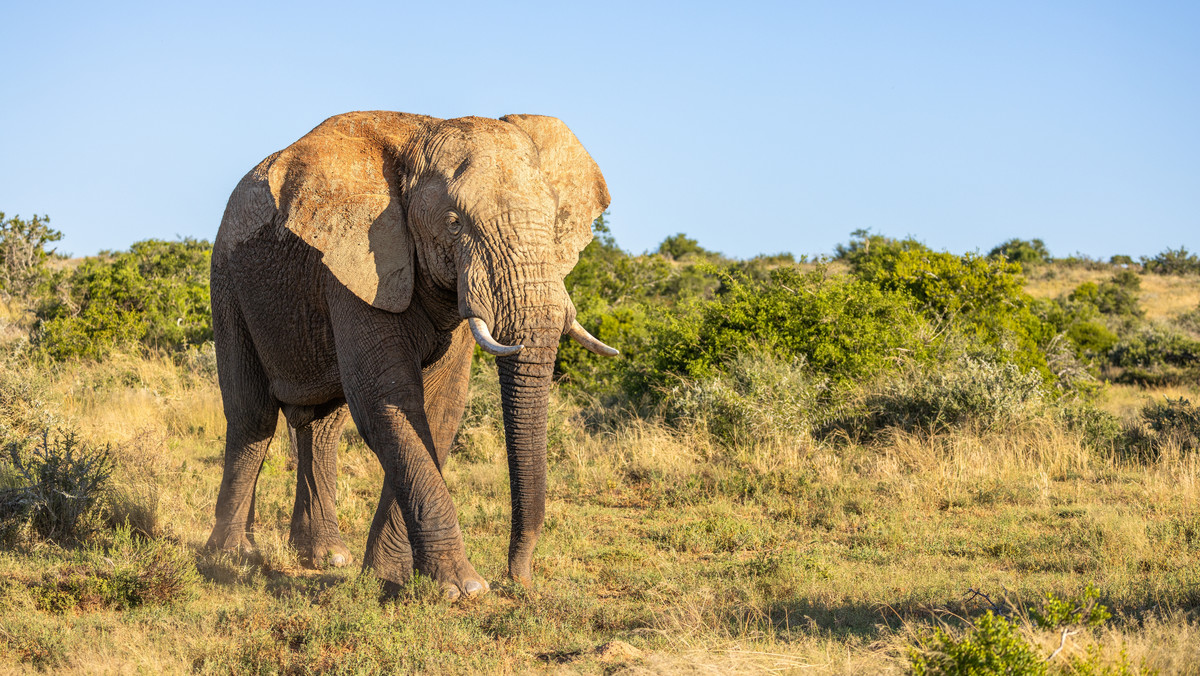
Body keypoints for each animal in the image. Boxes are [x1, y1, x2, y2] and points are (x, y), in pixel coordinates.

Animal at [205, 109, 614, 597]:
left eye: (554, 222)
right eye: (454, 223)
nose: (519, 578)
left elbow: (437, 411)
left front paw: (390, 579)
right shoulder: (357, 265)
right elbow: (387, 403)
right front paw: (463, 589)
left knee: (321, 425)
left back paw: (325, 557)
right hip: (227, 281)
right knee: (253, 418)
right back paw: (232, 558)